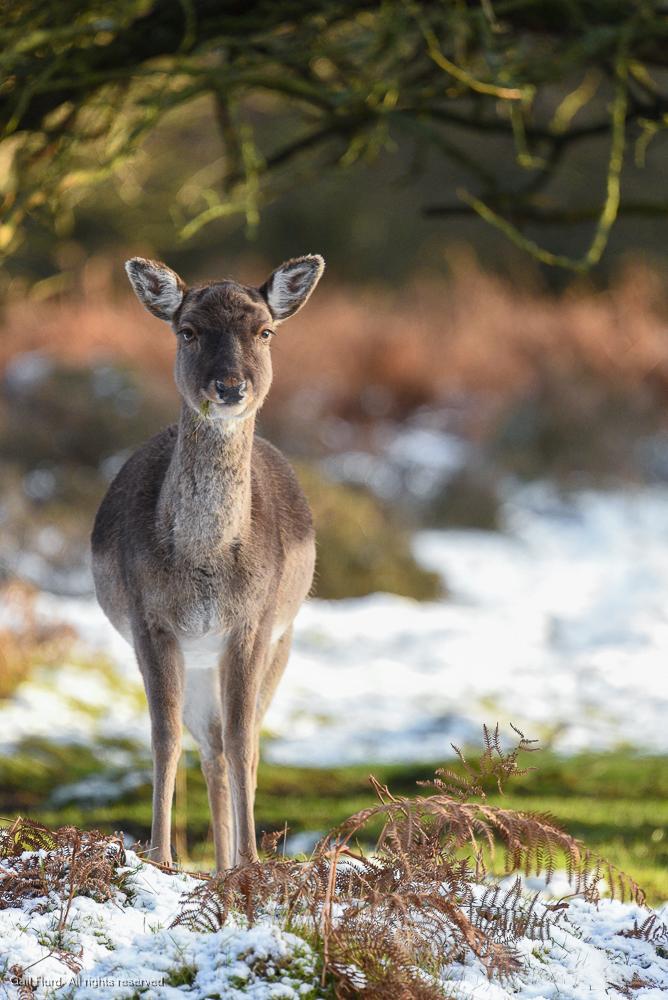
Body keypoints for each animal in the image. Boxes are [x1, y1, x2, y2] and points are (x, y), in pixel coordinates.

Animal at [91, 254, 324, 870]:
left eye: (264, 332)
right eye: (188, 330)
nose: (230, 386)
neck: (204, 565)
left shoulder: (254, 623)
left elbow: (244, 739)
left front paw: (254, 862)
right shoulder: (150, 622)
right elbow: (163, 736)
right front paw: (158, 858)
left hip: (280, 645)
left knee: (240, 743)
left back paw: (230, 863)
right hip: (197, 662)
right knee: (208, 746)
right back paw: (218, 864)